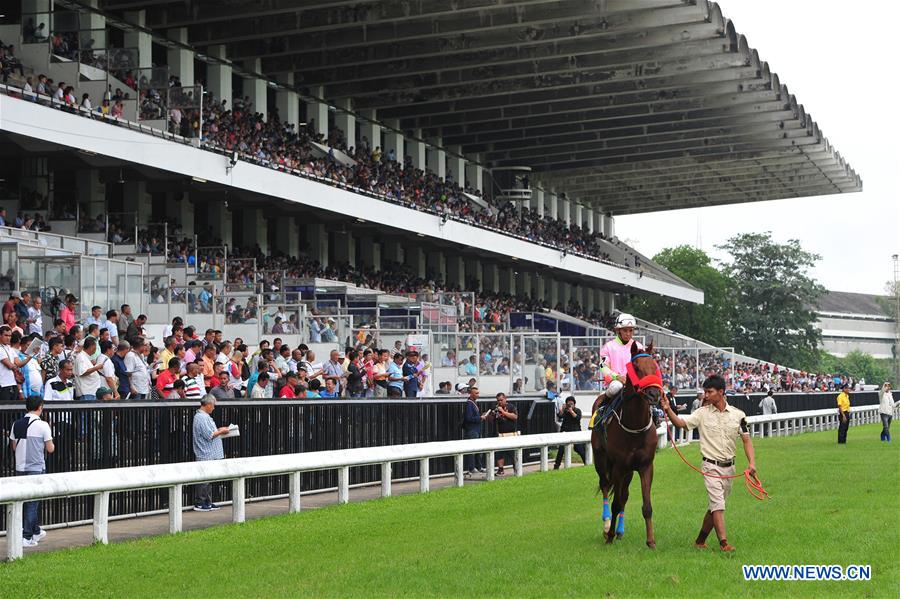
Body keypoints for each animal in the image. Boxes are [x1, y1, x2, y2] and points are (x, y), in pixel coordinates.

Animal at [591, 342, 664, 548]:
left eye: (655, 366)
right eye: (636, 368)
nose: (654, 394)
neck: (635, 426)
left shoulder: (645, 466)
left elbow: (645, 505)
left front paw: (651, 541)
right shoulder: (619, 466)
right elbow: (615, 503)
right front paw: (609, 536)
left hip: (629, 471)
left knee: (624, 495)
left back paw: (620, 531)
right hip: (601, 459)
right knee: (605, 486)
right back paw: (607, 525)